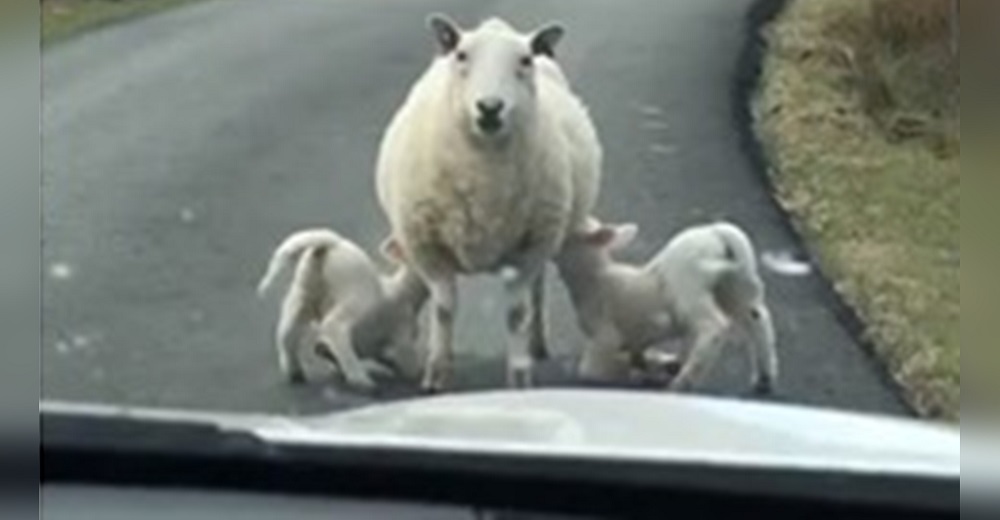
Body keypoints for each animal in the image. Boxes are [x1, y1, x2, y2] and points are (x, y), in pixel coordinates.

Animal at [256, 230, 428, 392]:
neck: (405, 289)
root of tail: (331, 243)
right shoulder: (402, 334)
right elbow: (409, 365)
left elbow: (378, 354)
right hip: (356, 294)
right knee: (334, 325)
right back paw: (359, 379)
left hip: (302, 292)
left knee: (286, 332)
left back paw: (294, 372)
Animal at [556, 218, 780, 394]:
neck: (595, 280)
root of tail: (717, 233)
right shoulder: (635, 339)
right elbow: (639, 354)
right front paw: (657, 365)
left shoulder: (605, 336)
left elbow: (592, 371)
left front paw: (639, 374)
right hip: (734, 283)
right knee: (757, 317)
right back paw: (764, 377)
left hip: (688, 284)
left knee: (714, 326)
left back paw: (682, 383)